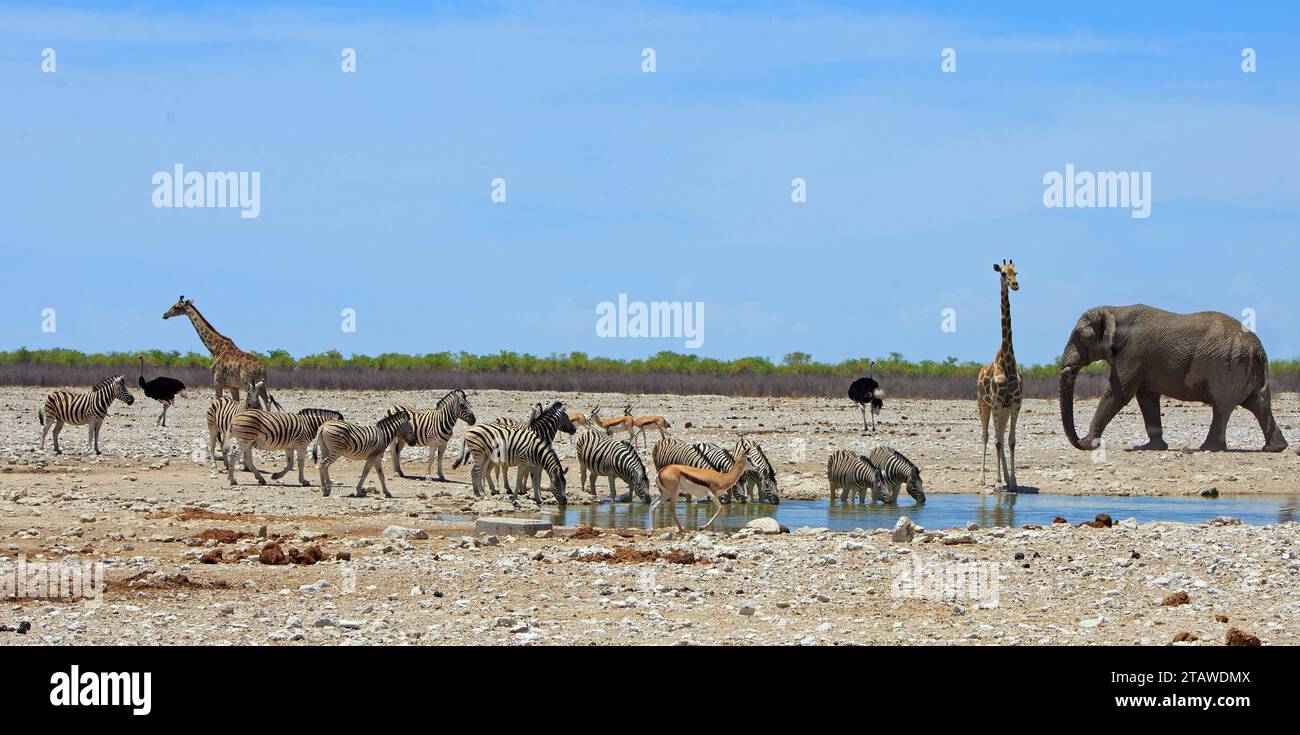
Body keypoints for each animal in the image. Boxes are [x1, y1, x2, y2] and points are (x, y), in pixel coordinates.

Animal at [1060, 300, 1284, 450]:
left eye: (1079, 337)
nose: (1078, 441)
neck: (1114, 309)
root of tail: (1259, 348)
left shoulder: (1133, 353)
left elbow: (1118, 394)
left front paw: (1088, 444)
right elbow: (1147, 398)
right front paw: (1152, 448)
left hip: (1228, 365)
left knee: (1222, 407)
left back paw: (1208, 449)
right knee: (1256, 403)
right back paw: (1275, 448)